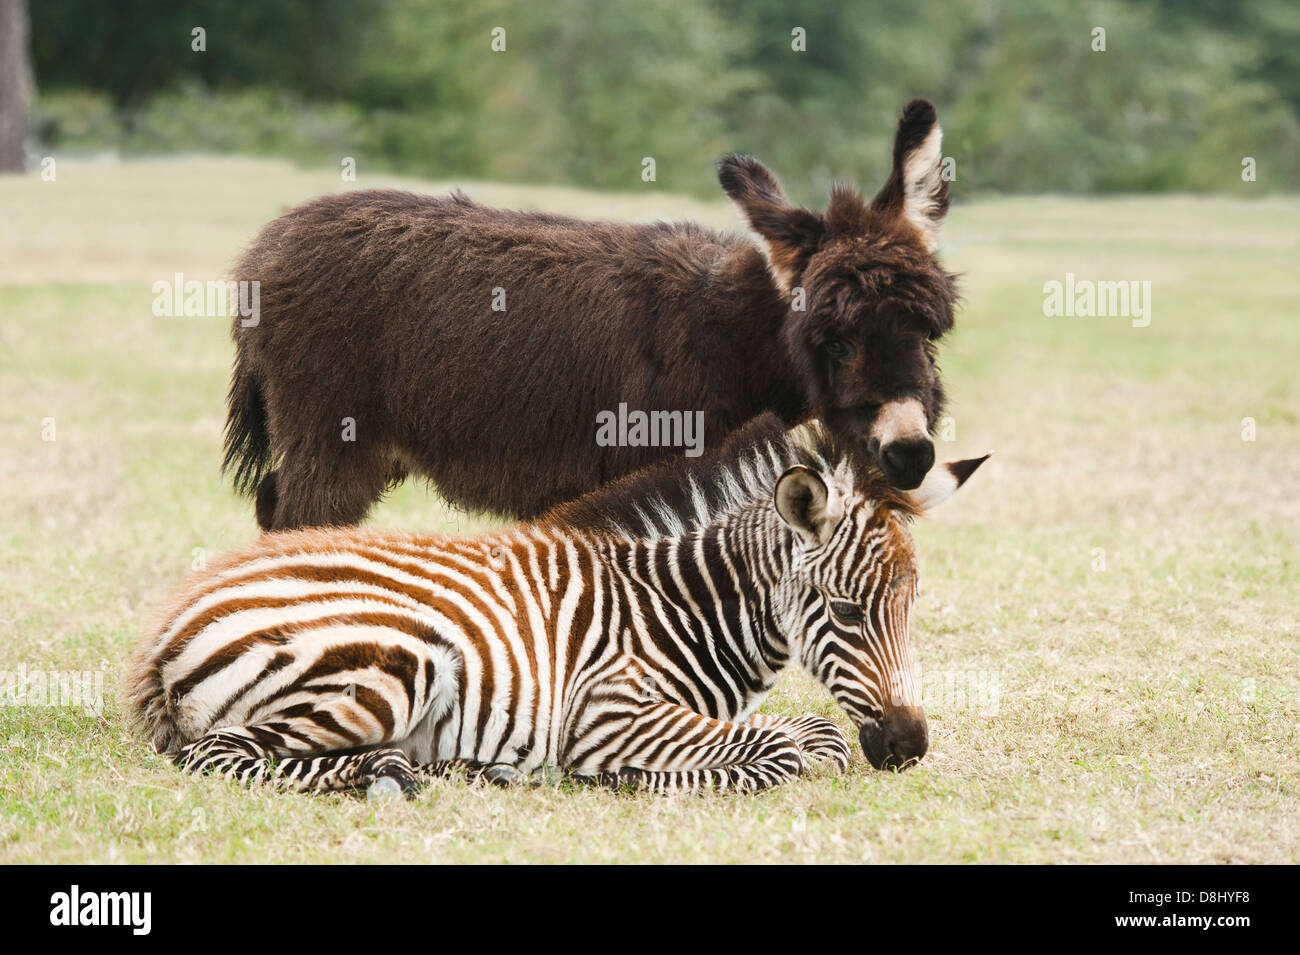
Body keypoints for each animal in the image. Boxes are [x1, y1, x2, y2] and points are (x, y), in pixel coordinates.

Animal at [124, 414, 987, 796]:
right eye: (847, 613)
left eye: (912, 608)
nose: (909, 745)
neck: (676, 605)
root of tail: (167, 628)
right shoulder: (605, 710)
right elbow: (783, 748)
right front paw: (641, 777)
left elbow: (814, 733)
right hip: (390, 664)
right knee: (220, 754)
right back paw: (384, 772)